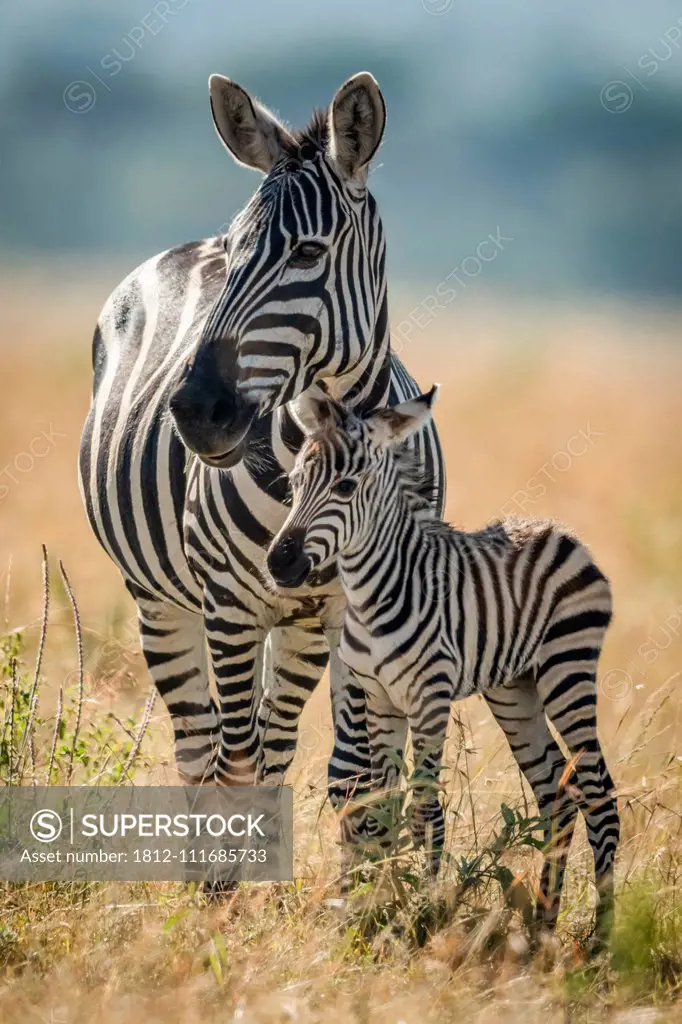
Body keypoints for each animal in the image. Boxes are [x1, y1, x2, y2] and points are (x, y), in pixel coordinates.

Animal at [76, 72, 444, 831]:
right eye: (234, 250)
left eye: (308, 252)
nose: (196, 411)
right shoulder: (229, 605)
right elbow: (234, 770)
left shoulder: (359, 615)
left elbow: (357, 781)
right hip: (160, 603)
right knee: (203, 753)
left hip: (298, 629)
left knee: (276, 750)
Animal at [266, 385, 614, 942]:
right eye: (295, 484)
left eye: (345, 487)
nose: (280, 563)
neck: (374, 593)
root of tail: (560, 531)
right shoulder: (379, 699)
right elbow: (382, 804)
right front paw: (378, 908)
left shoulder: (428, 698)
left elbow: (425, 807)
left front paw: (424, 914)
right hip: (515, 691)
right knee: (558, 796)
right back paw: (542, 927)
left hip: (568, 669)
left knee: (600, 794)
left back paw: (602, 938)